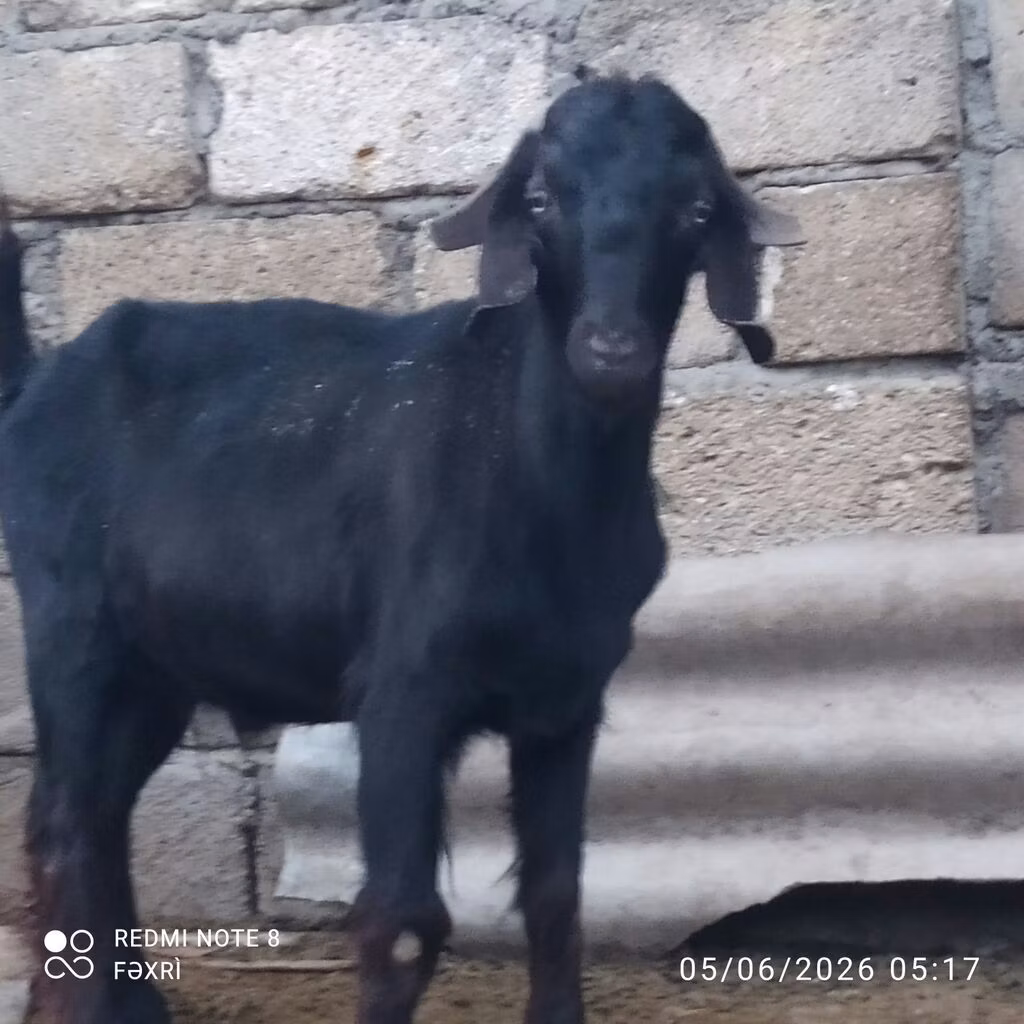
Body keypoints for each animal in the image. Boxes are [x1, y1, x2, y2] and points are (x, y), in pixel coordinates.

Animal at [0, 72, 804, 1024]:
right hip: (73, 636)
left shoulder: (568, 703)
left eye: (694, 207)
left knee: (93, 814)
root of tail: (38, 384)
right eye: (541, 199)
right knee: (67, 825)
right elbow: (403, 921)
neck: (535, 482)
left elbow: (557, 891)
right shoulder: (400, 691)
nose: (611, 351)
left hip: (158, 670)